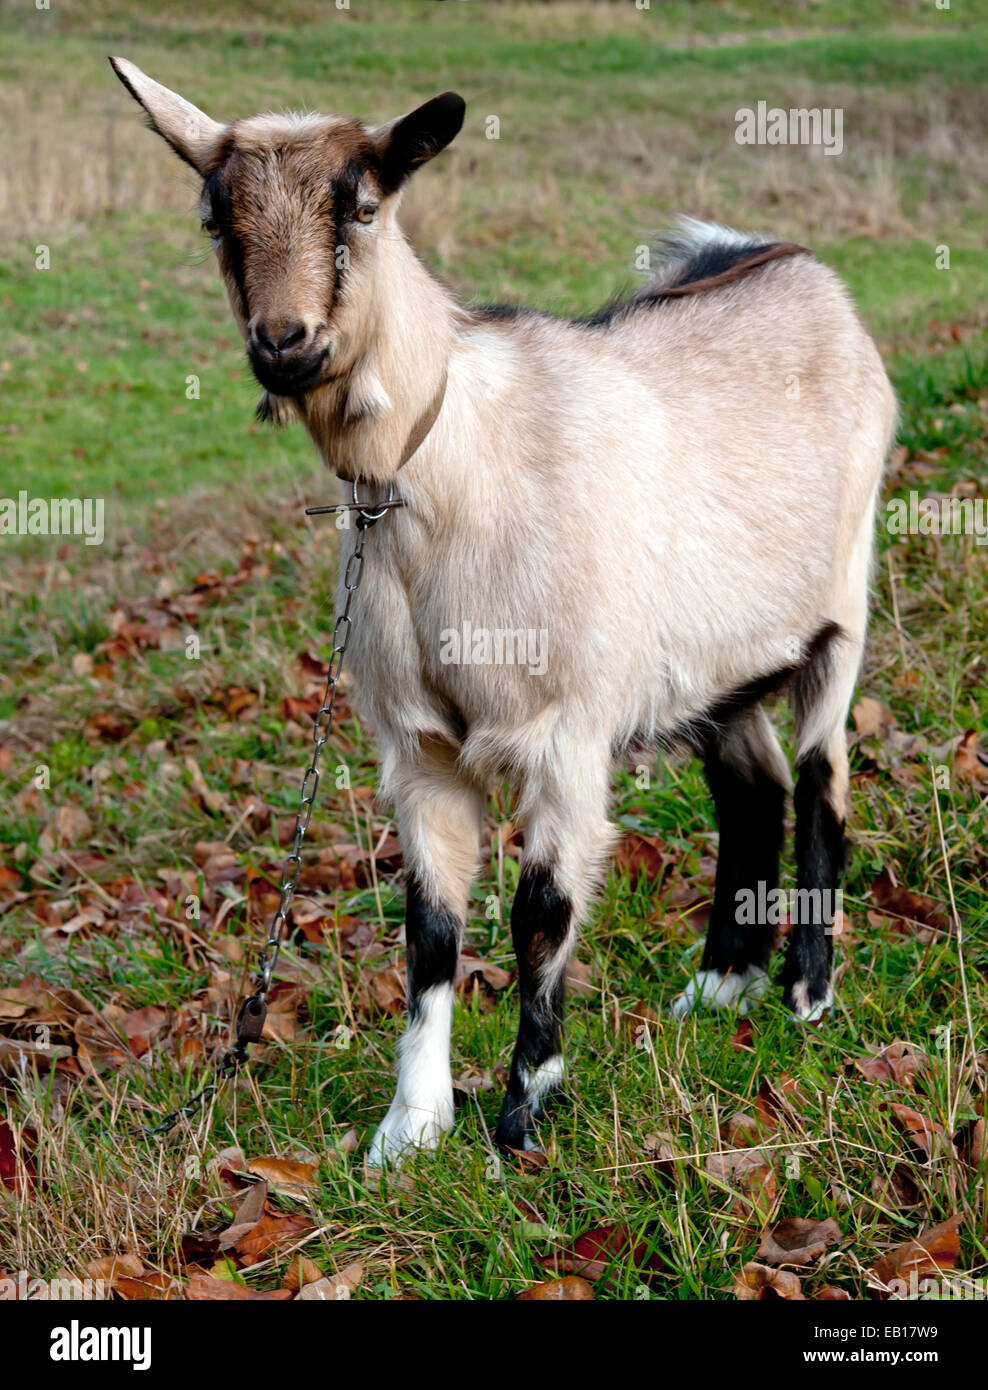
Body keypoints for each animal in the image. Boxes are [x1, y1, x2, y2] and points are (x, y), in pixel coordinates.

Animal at [111, 56, 900, 1162]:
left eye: (361, 205)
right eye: (215, 218)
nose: (285, 344)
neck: (437, 476)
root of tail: (783, 261)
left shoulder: (563, 730)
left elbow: (541, 913)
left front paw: (525, 1110)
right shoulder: (419, 746)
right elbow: (431, 931)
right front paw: (408, 1129)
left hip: (840, 603)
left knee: (826, 777)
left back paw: (806, 993)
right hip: (710, 658)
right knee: (756, 784)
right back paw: (719, 984)